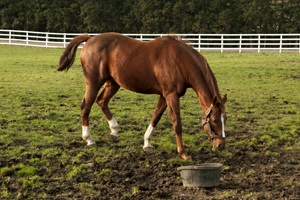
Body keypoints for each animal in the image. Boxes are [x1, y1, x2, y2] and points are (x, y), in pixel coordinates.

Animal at [58, 32, 227, 159]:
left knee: (102, 101)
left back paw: (114, 130)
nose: (221, 145)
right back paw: (89, 139)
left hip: (113, 83)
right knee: (86, 106)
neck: (180, 61)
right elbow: (177, 124)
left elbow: (156, 117)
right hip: (93, 83)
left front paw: (147, 143)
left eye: (225, 119)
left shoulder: (164, 96)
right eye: (214, 120)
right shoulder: (171, 95)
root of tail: (90, 39)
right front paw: (183, 153)